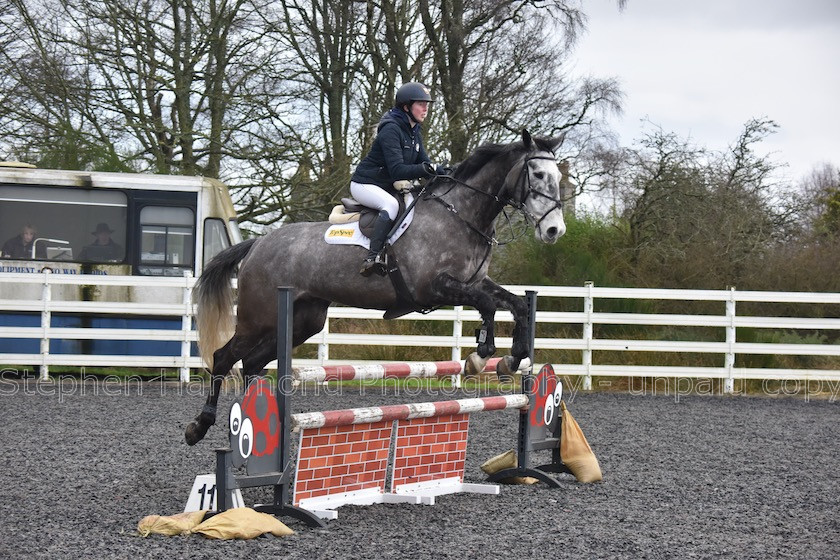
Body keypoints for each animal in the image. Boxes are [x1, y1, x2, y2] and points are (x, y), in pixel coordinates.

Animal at [184, 129, 564, 444]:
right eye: (538, 174)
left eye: (559, 177)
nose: (554, 231)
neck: (462, 215)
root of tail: (258, 243)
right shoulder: (437, 287)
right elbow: (491, 304)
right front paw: (487, 356)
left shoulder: (475, 282)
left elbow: (514, 304)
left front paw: (504, 359)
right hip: (258, 317)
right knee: (225, 357)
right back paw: (198, 426)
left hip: (302, 320)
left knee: (252, 364)